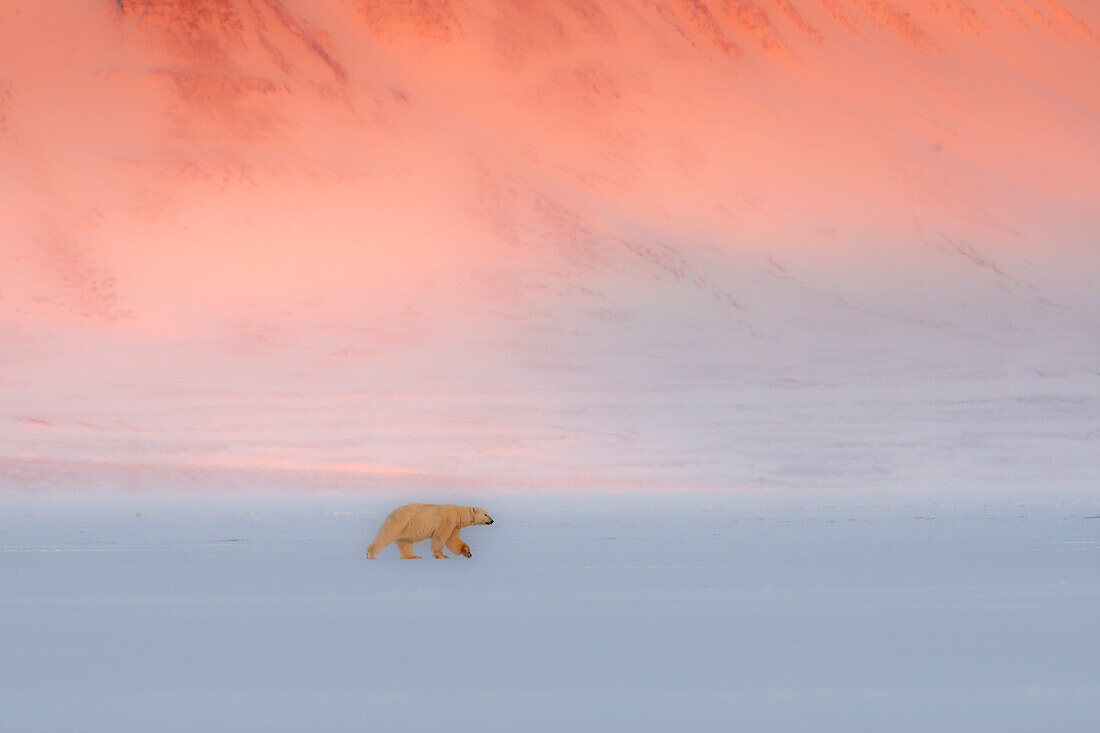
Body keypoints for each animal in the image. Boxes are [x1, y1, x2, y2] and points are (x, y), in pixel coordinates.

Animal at [365, 501, 495, 559]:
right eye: (486, 514)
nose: (492, 520)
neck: (457, 513)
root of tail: (390, 514)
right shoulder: (447, 520)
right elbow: (440, 537)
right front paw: (442, 555)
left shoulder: (455, 526)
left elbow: (453, 540)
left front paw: (467, 552)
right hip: (400, 522)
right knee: (385, 536)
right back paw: (371, 554)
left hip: (405, 528)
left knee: (405, 543)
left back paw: (413, 556)